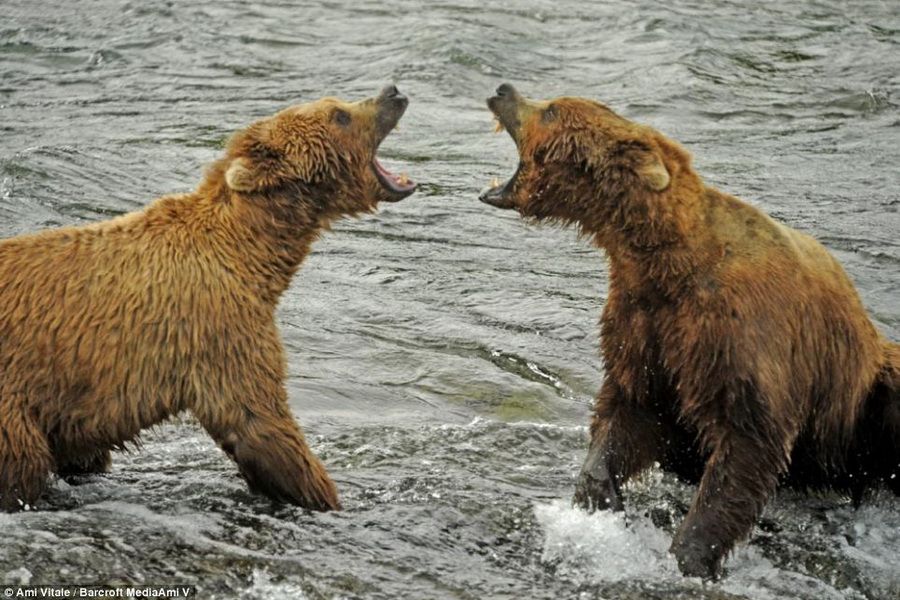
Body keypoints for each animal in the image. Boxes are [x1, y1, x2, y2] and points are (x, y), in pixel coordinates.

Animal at [0, 85, 417, 512]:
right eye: (339, 115)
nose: (392, 92)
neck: (251, 254)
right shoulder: (219, 330)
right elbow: (261, 426)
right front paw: (327, 496)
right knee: (23, 465)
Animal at [480, 83, 900, 578]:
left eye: (552, 110)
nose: (503, 89)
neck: (663, 261)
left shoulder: (738, 334)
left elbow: (747, 442)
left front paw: (691, 554)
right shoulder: (643, 324)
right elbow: (629, 408)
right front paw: (600, 498)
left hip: (860, 397)